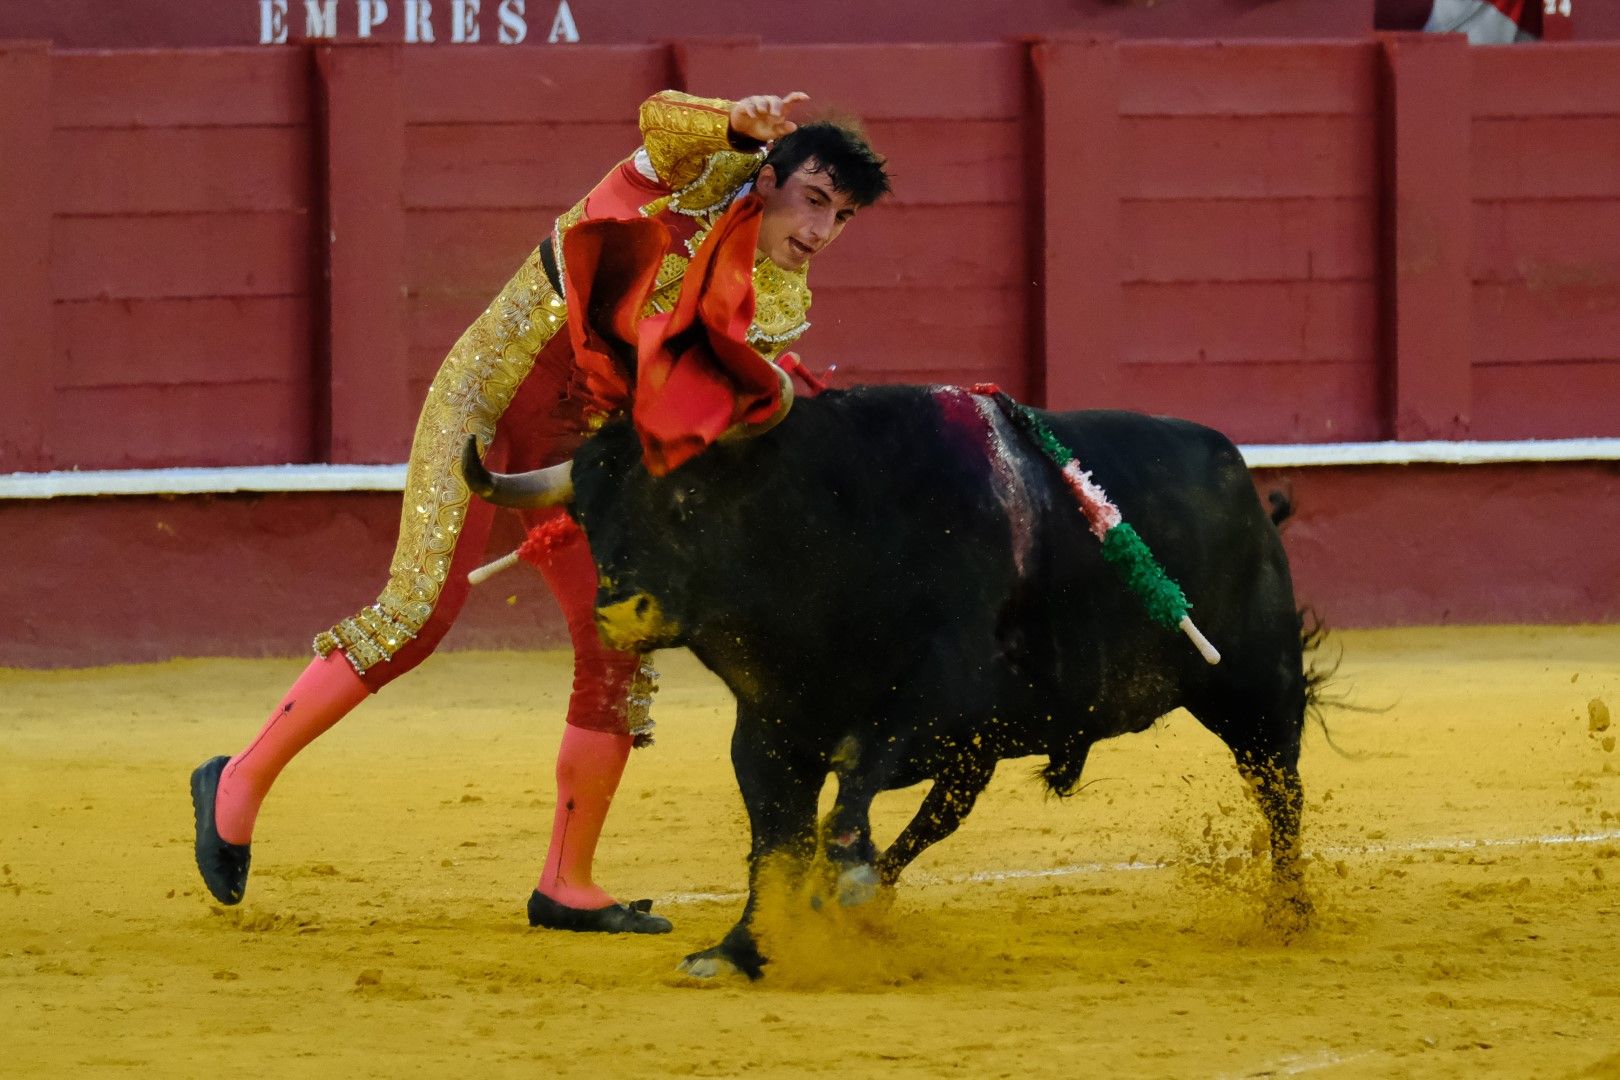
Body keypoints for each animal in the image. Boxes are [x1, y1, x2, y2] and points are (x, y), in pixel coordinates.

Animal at [463, 388, 1308, 977]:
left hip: (1258, 693)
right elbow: (775, 843)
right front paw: (742, 949)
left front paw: (827, 894)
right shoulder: (769, 733)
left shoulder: (934, 708)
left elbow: (850, 788)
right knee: (941, 816)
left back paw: (1291, 913)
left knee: (1281, 794)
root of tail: (1237, 472)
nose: (620, 612)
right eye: (587, 515)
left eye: (688, 499)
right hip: (987, 752)